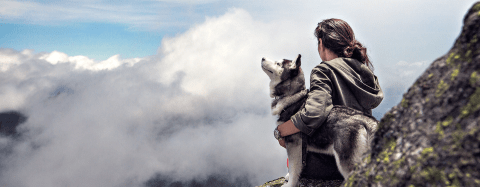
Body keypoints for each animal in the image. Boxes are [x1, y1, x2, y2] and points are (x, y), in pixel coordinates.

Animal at [262, 54, 378, 187]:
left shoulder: (294, 144)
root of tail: (366, 119)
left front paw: (290, 183)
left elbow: (293, 168)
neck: (293, 96)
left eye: (278, 63)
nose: (262, 58)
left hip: (345, 159)